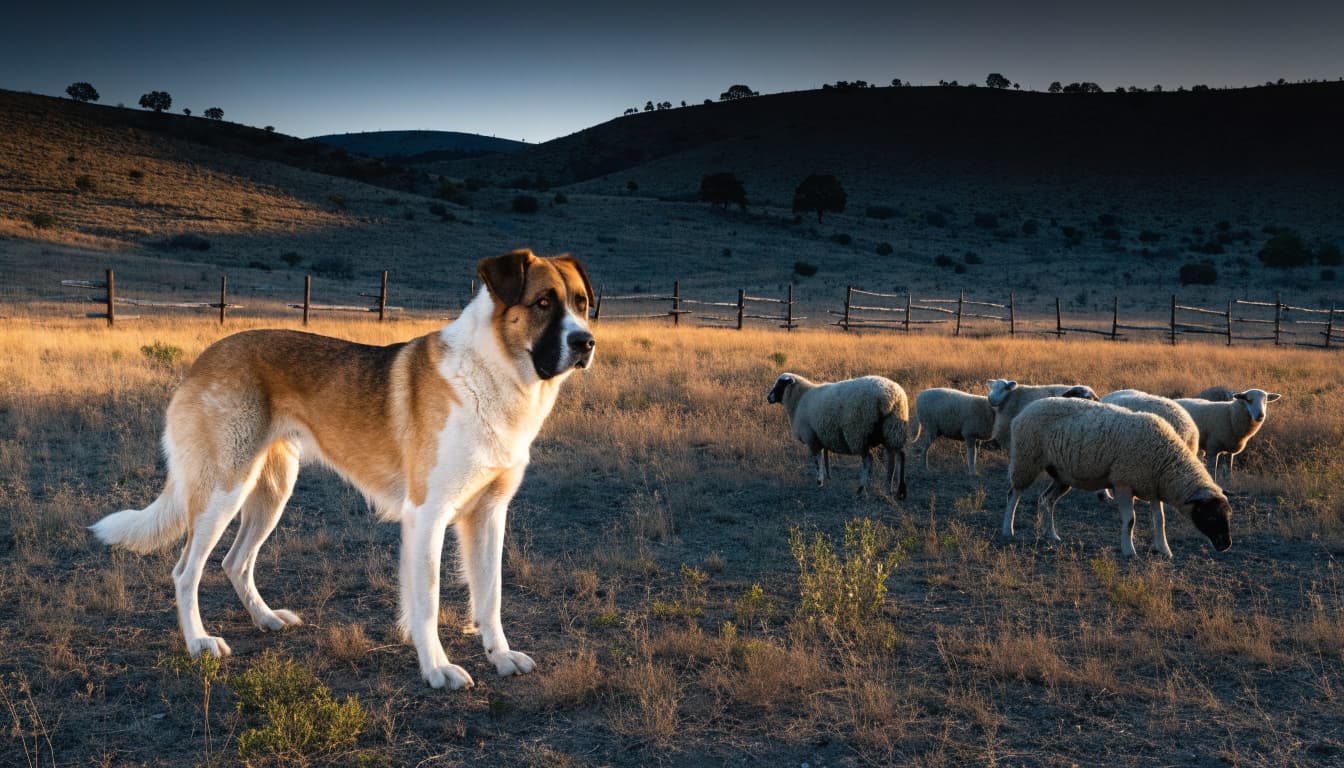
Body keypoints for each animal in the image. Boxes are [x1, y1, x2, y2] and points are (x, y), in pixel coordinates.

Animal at [766, 373, 909, 499]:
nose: (768, 398)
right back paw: (896, 490)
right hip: (893, 429)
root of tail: (891, 397)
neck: (800, 399)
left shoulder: (811, 437)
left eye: (780, 384)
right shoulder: (820, 438)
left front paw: (819, 481)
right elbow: (823, 458)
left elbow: (817, 460)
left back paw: (862, 489)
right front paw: (825, 477)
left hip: (858, 433)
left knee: (869, 461)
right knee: (898, 457)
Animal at [1002, 397, 1232, 557]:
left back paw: (1050, 534)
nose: (1226, 545)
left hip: (1061, 474)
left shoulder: (1151, 486)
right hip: (1026, 458)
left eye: (1228, 515)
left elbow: (1160, 520)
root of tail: (1024, 411)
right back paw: (1008, 529)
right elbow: (1130, 520)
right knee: (1014, 493)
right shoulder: (1123, 483)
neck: (1165, 462)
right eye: (1211, 516)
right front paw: (1129, 550)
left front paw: (1163, 549)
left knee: (1046, 500)